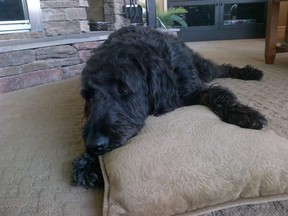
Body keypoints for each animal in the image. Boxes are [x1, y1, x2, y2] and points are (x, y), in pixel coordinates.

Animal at [71, 24, 266, 187]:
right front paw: (87, 163)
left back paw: (250, 72)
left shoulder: (190, 90)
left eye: (123, 88)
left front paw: (245, 114)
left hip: (204, 69)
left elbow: (218, 93)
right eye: (89, 96)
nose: (93, 145)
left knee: (221, 68)